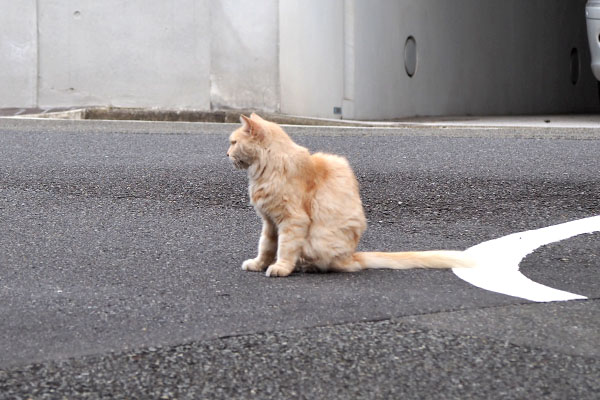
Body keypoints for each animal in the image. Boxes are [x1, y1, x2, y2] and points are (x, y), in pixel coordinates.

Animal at [227, 112, 472, 276]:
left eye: (233, 142)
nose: (226, 153)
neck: (267, 168)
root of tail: (352, 255)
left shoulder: (292, 220)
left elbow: (285, 248)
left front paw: (280, 267)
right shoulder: (270, 222)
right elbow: (266, 247)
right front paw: (259, 264)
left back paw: (306, 266)